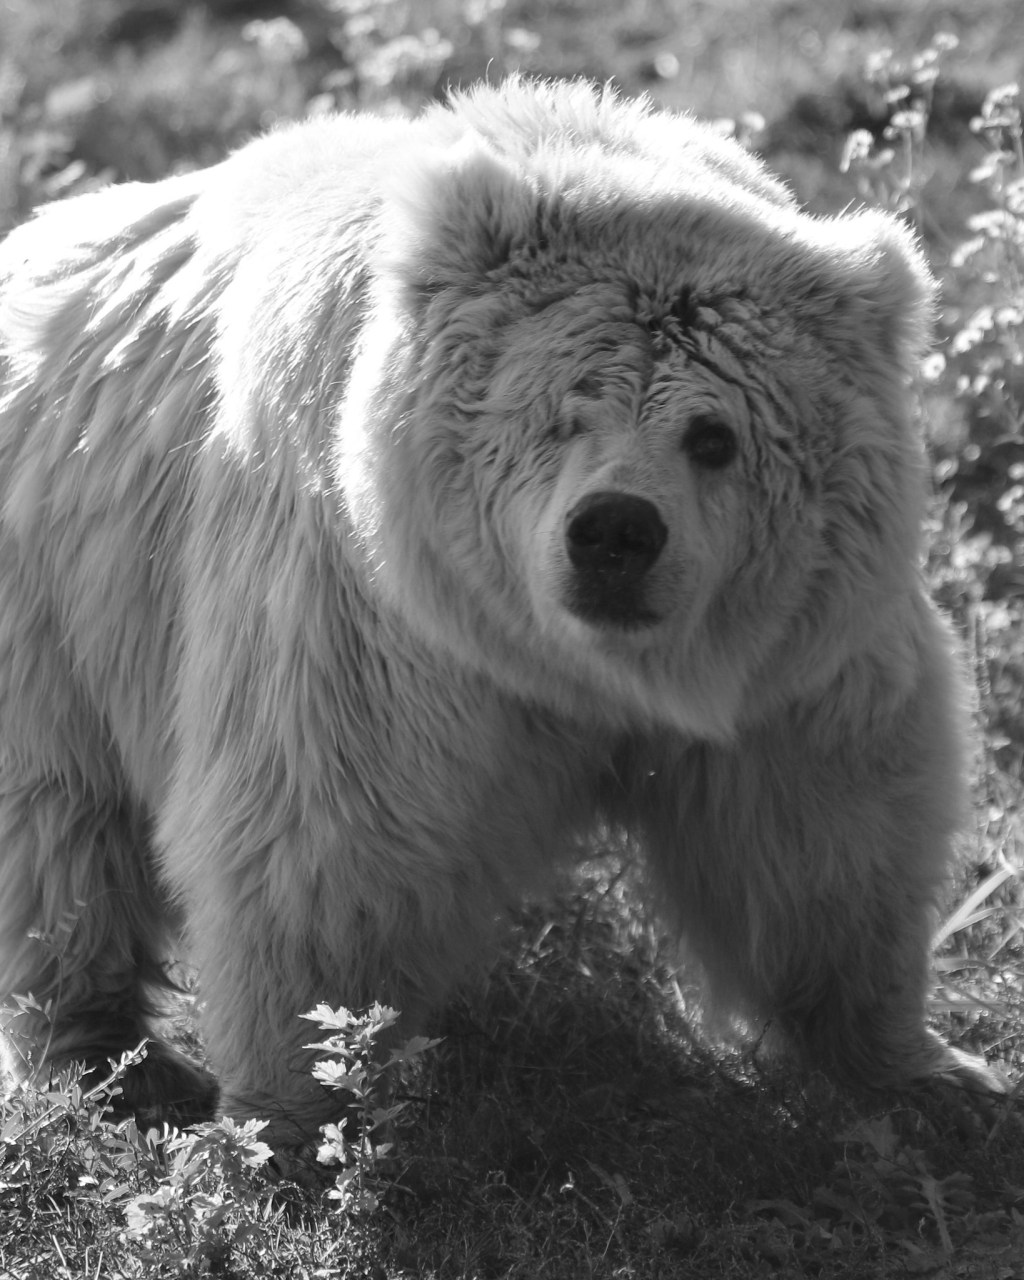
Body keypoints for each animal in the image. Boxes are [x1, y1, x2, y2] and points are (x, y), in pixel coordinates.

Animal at [0, 76, 1004, 1149]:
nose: (615, 532)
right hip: (58, 599)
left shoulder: (797, 658)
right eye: (565, 411)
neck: (573, 673)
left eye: (714, 435)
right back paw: (107, 1061)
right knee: (60, 832)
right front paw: (288, 1118)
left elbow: (828, 834)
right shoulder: (373, 615)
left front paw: (930, 1071)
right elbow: (326, 840)